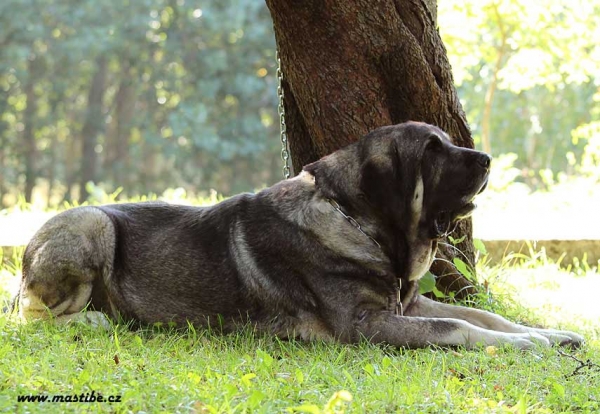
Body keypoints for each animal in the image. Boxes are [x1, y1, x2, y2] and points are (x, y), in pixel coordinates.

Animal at [17, 122, 580, 350]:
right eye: (433, 150)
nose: (486, 159)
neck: (356, 220)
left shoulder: (409, 305)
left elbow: (487, 317)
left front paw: (549, 334)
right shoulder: (366, 325)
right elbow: (460, 328)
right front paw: (530, 345)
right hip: (91, 222)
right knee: (34, 315)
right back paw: (94, 320)